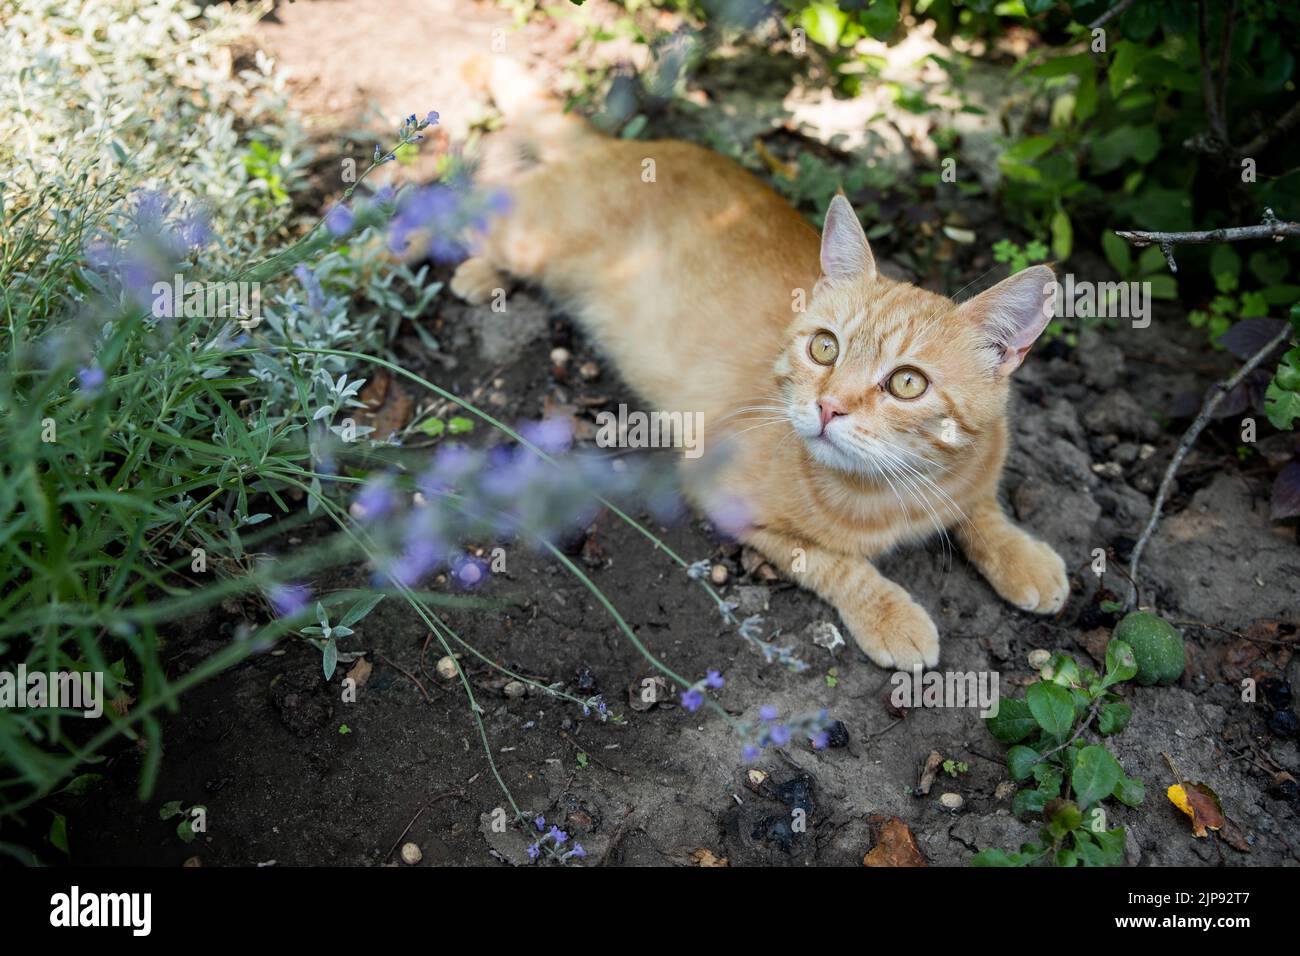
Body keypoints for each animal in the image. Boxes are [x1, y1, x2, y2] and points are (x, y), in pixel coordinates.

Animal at [452, 59, 1071, 671]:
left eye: (907, 383)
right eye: (825, 348)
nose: (828, 407)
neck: (890, 498)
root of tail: (634, 147)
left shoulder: (974, 473)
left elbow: (980, 509)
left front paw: (1022, 555)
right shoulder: (720, 494)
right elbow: (831, 561)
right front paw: (890, 613)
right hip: (530, 239)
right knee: (470, 204)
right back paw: (464, 264)